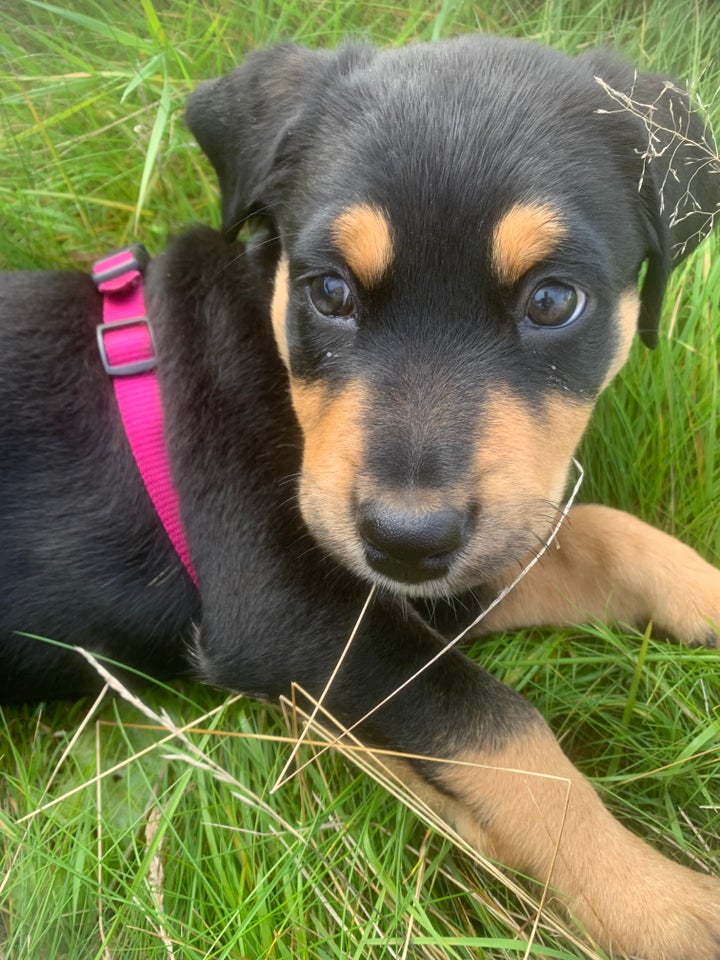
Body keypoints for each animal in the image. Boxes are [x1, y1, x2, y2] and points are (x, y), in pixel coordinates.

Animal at [1, 33, 720, 956]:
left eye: (554, 300)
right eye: (330, 292)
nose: (406, 540)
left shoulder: (440, 569)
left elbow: (602, 533)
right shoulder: (294, 614)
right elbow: (504, 732)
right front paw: (663, 905)